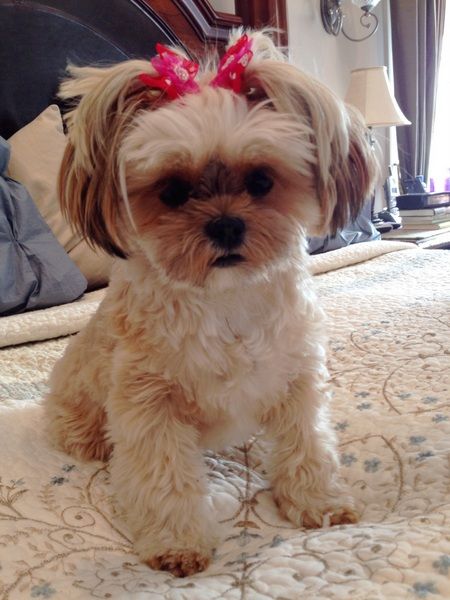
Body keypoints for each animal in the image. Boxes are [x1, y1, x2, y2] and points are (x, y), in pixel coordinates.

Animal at [44, 29, 376, 576]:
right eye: (173, 191)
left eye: (261, 181)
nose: (225, 225)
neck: (225, 300)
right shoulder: (148, 405)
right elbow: (163, 477)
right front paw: (176, 541)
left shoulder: (297, 379)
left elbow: (308, 445)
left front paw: (318, 501)